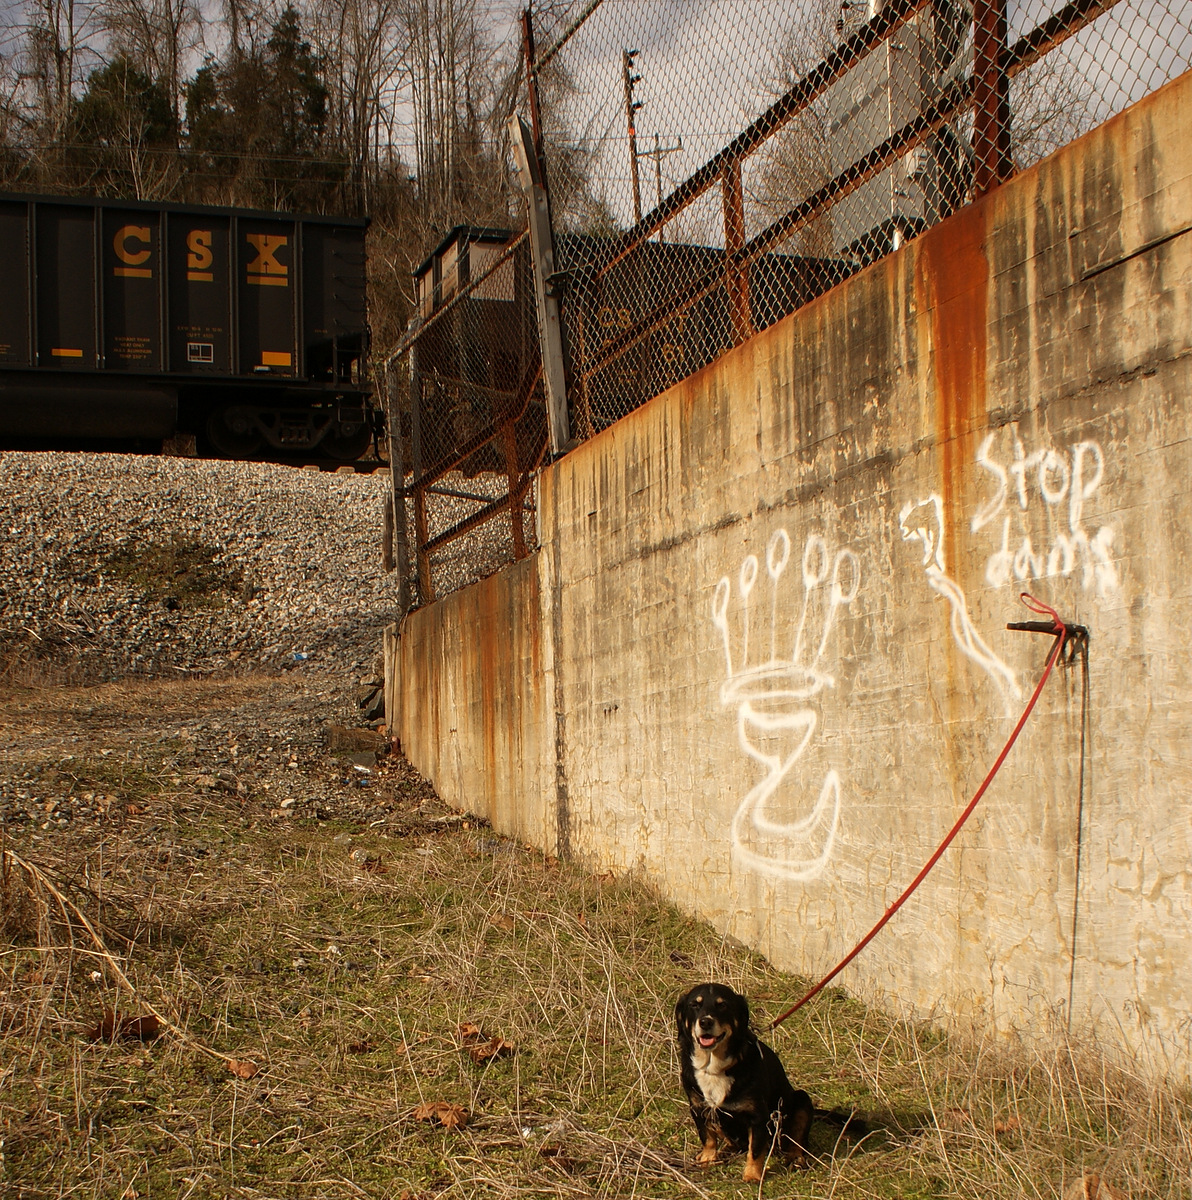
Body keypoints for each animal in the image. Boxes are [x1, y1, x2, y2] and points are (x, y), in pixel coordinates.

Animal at [672, 984, 816, 1180]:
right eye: (695, 1004)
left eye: (722, 1005)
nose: (706, 1022)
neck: (714, 1067)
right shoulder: (698, 1108)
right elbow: (707, 1137)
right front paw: (708, 1159)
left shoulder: (758, 1117)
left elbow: (755, 1149)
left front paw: (752, 1175)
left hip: (802, 1100)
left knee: (798, 1139)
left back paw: (796, 1157)